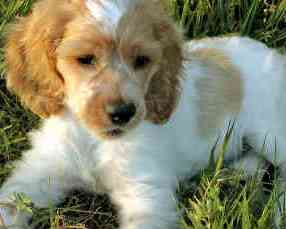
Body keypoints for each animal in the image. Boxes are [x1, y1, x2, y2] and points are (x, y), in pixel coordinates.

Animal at [0, 0, 286, 228]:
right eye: (85, 59)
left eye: (141, 60)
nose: (123, 113)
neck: (96, 139)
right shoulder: (40, 170)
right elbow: (9, 204)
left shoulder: (146, 193)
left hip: (269, 131)